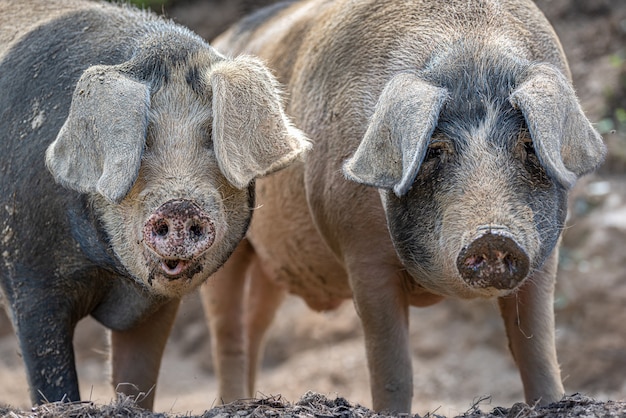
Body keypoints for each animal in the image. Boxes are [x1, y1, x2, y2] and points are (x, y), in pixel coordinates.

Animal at [0, 0, 308, 410]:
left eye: (210, 137)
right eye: (143, 139)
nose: (180, 207)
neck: (114, 277)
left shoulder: (157, 307)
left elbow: (138, 378)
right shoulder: (27, 278)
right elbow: (51, 378)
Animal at [200, 0, 604, 414]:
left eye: (527, 145)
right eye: (434, 149)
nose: (492, 236)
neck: (471, 49)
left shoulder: (544, 254)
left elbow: (536, 344)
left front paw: (552, 401)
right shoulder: (361, 251)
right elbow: (392, 363)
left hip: (271, 266)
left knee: (255, 324)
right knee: (226, 329)